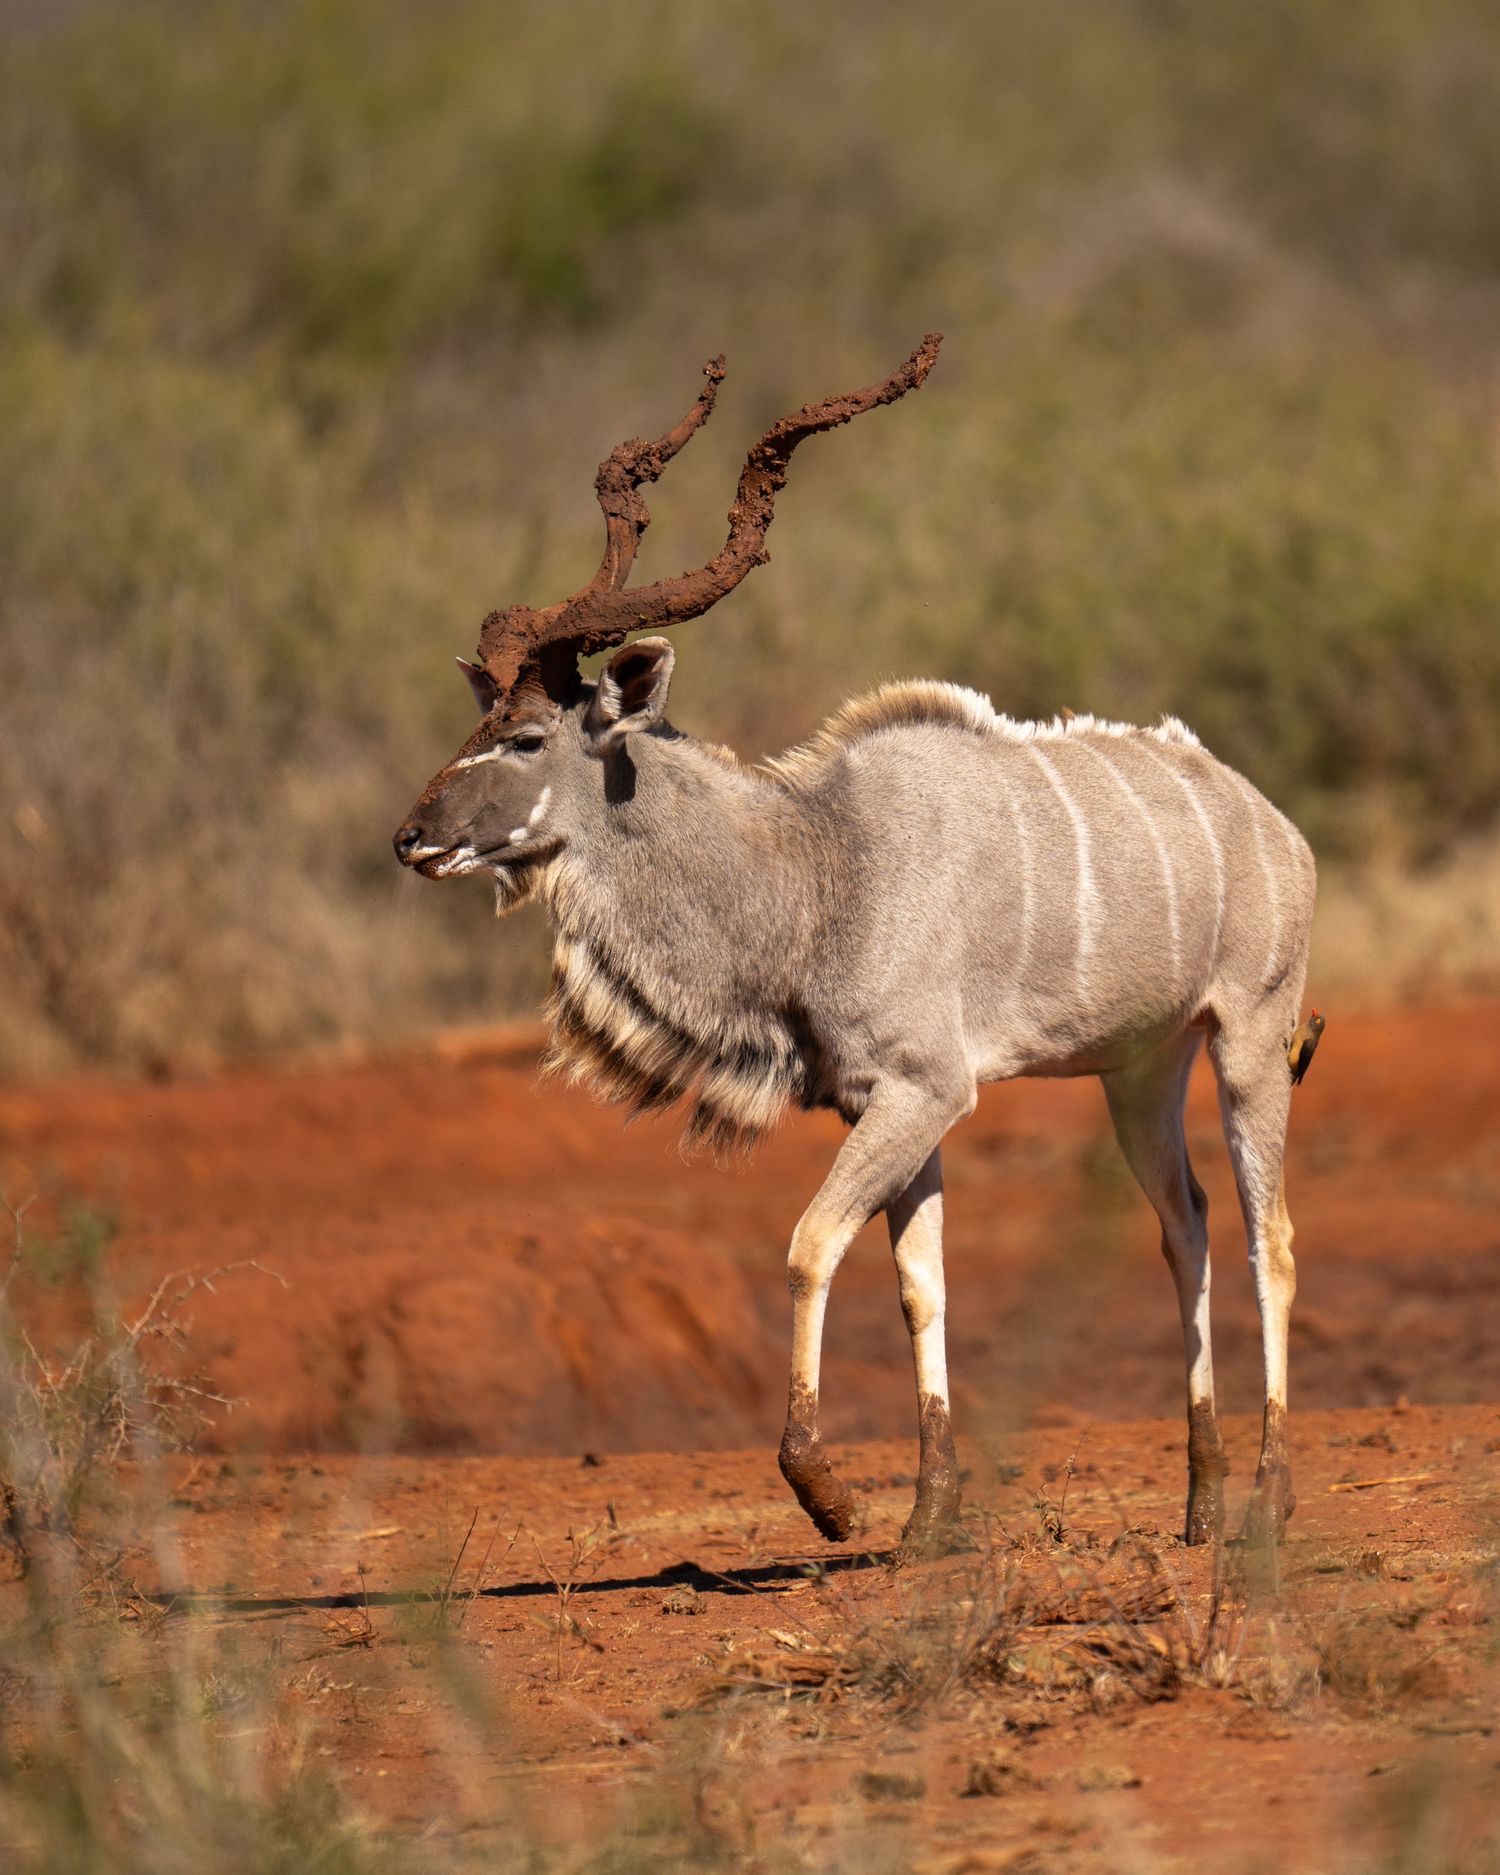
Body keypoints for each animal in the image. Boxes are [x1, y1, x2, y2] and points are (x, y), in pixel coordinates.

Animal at [394, 336, 1315, 1553]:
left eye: (528, 737)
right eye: (478, 725)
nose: (411, 839)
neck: (823, 865)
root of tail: (1277, 825)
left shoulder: (926, 1091)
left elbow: (809, 1243)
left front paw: (827, 1493)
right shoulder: (889, 1104)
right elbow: (921, 1282)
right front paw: (931, 1516)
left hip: (1251, 1037)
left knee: (1271, 1237)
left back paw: (1266, 1500)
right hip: (1140, 1072)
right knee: (1189, 1225)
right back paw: (1202, 1501)